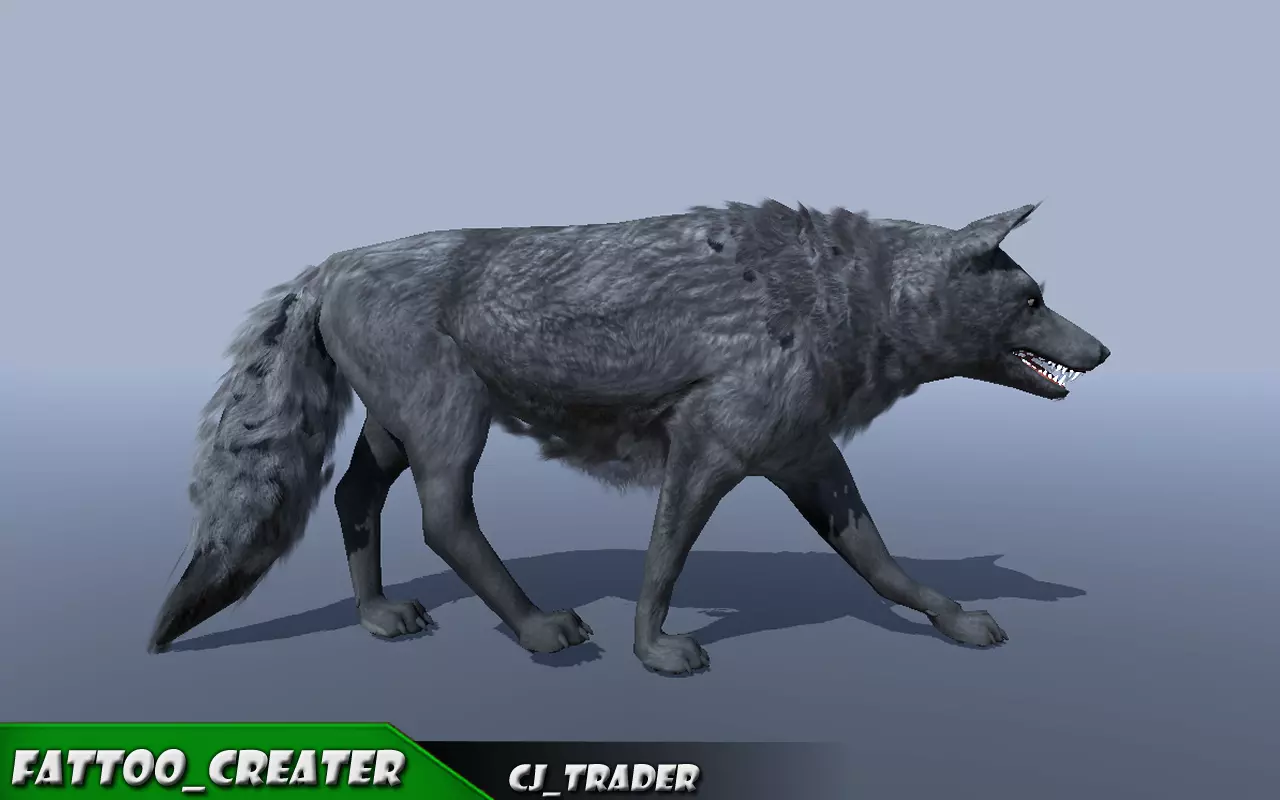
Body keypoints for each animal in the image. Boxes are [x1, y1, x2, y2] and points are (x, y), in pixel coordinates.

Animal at [148, 199, 1109, 674]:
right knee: (444, 522)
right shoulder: (706, 455)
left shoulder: (807, 461)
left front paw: (954, 621)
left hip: (395, 432)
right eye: (1033, 300)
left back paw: (379, 616)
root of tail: (328, 263)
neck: (848, 300)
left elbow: (883, 566)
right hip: (450, 428)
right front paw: (653, 652)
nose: (1101, 350)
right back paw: (537, 630)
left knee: (355, 498)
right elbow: (662, 564)